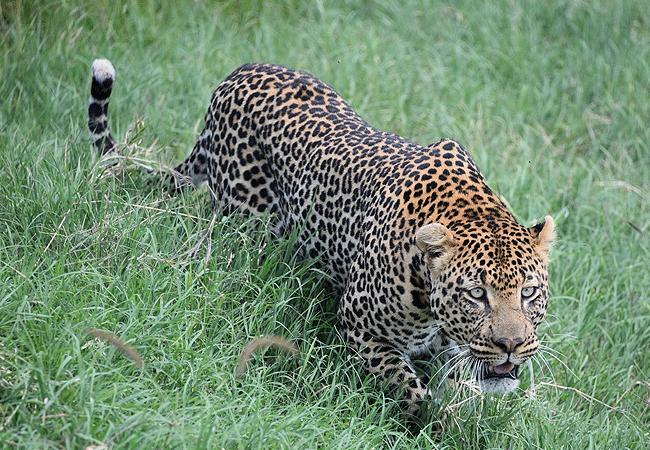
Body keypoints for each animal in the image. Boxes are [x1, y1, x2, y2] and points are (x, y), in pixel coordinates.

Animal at [87, 59, 555, 419]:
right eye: (477, 294)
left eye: (528, 293)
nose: (511, 346)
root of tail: (235, 75)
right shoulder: (364, 329)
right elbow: (410, 391)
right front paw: (432, 426)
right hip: (246, 227)